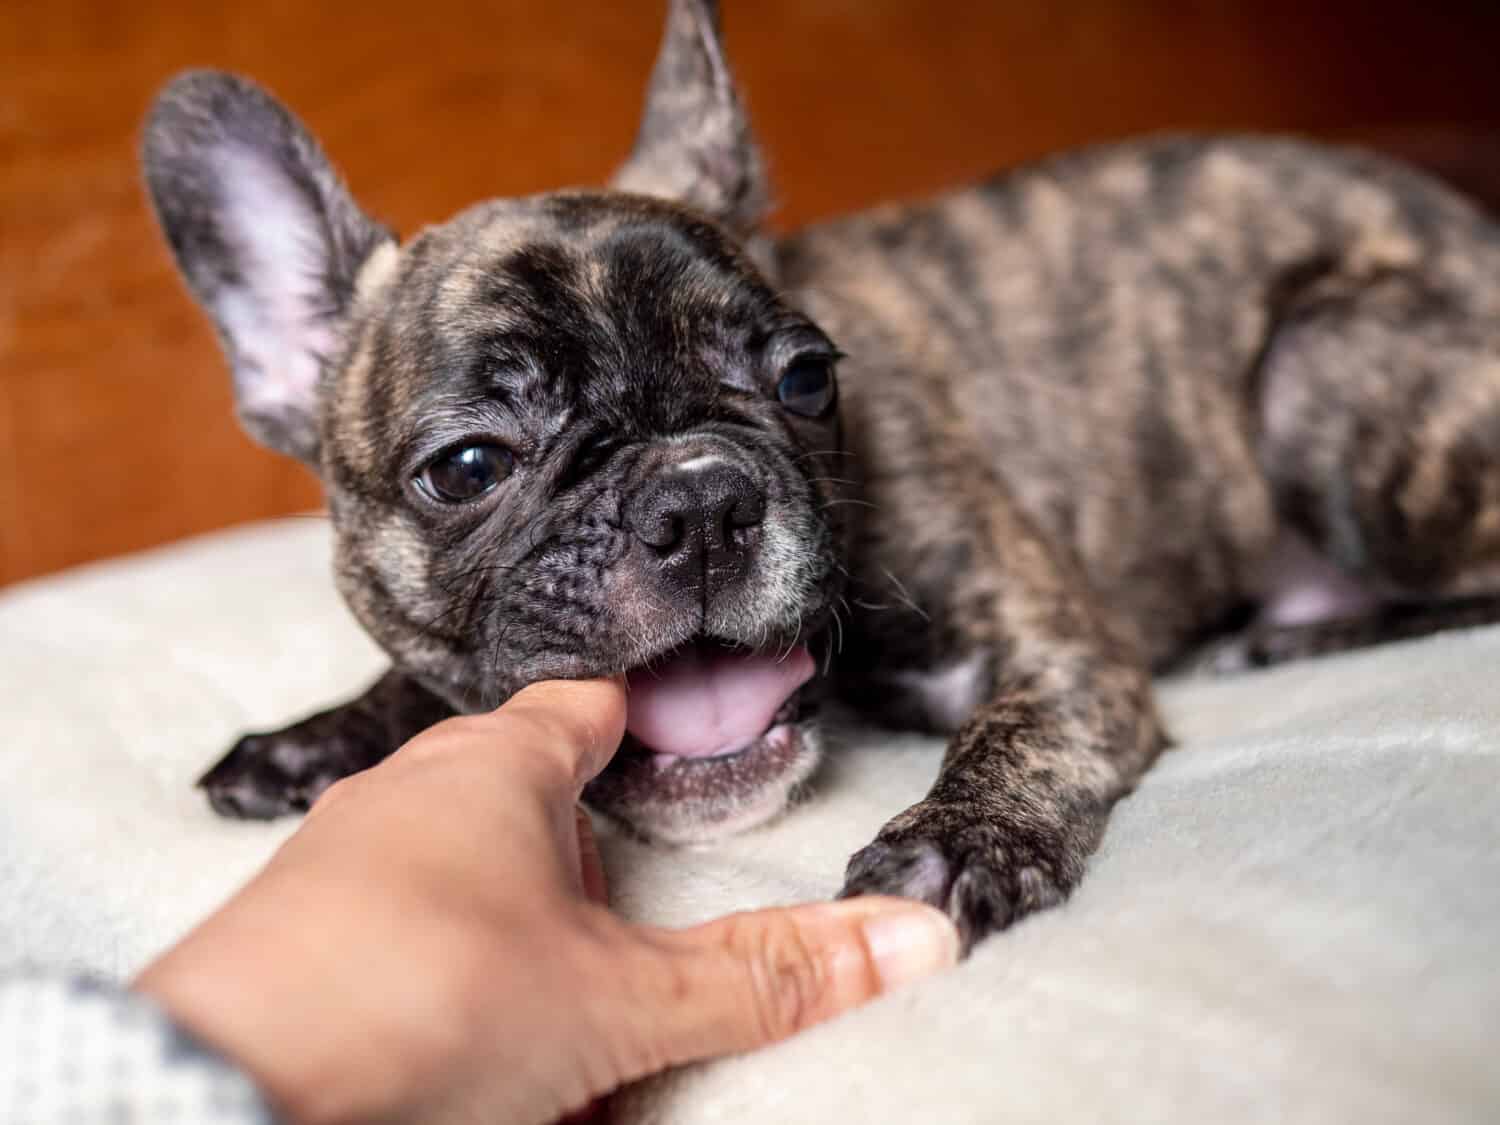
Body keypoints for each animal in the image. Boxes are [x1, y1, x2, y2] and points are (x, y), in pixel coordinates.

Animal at [141, 0, 1500, 954]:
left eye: (804, 380)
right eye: (468, 465)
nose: (698, 496)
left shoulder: (1063, 656)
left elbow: (1016, 732)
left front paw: (953, 841)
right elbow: (415, 678)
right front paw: (319, 737)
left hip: (1316, 368)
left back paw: (1290, 639)